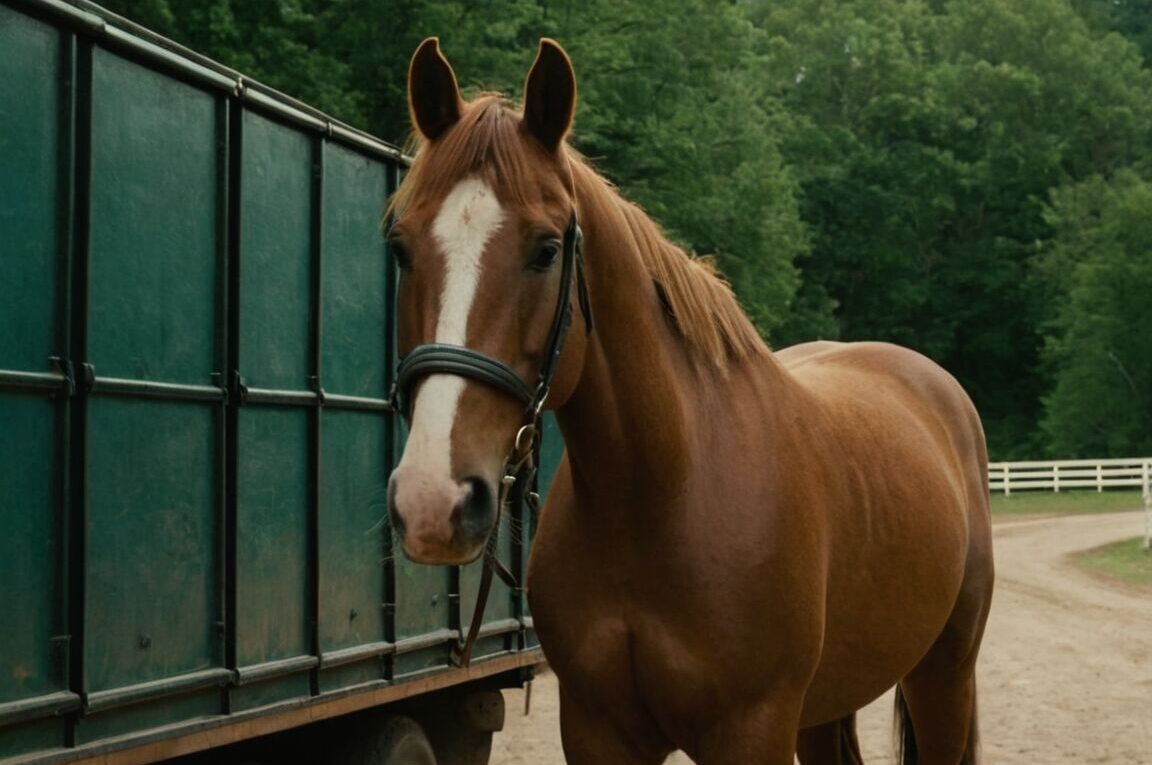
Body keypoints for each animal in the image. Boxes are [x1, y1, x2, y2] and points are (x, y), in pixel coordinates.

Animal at [384, 37, 994, 765]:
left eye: (546, 249)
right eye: (400, 247)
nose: (433, 501)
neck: (665, 495)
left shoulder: (752, 730)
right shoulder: (597, 730)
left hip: (944, 675)